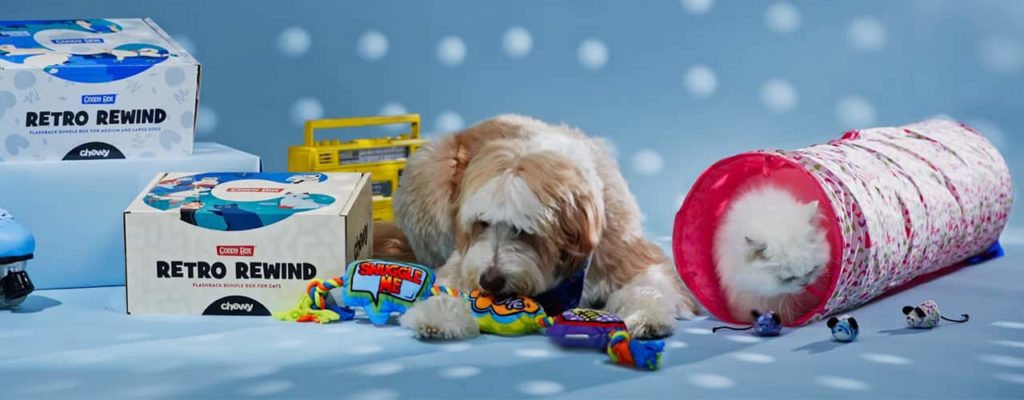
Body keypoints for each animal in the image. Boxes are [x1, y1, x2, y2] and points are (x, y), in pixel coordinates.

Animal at [389, 114, 696, 339]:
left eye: (524, 231)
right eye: (483, 222)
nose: (491, 281)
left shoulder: (630, 255)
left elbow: (651, 285)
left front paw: (645, 316)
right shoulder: (464, 261)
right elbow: (451, 285)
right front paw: (439, 314)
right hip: (425, 171)